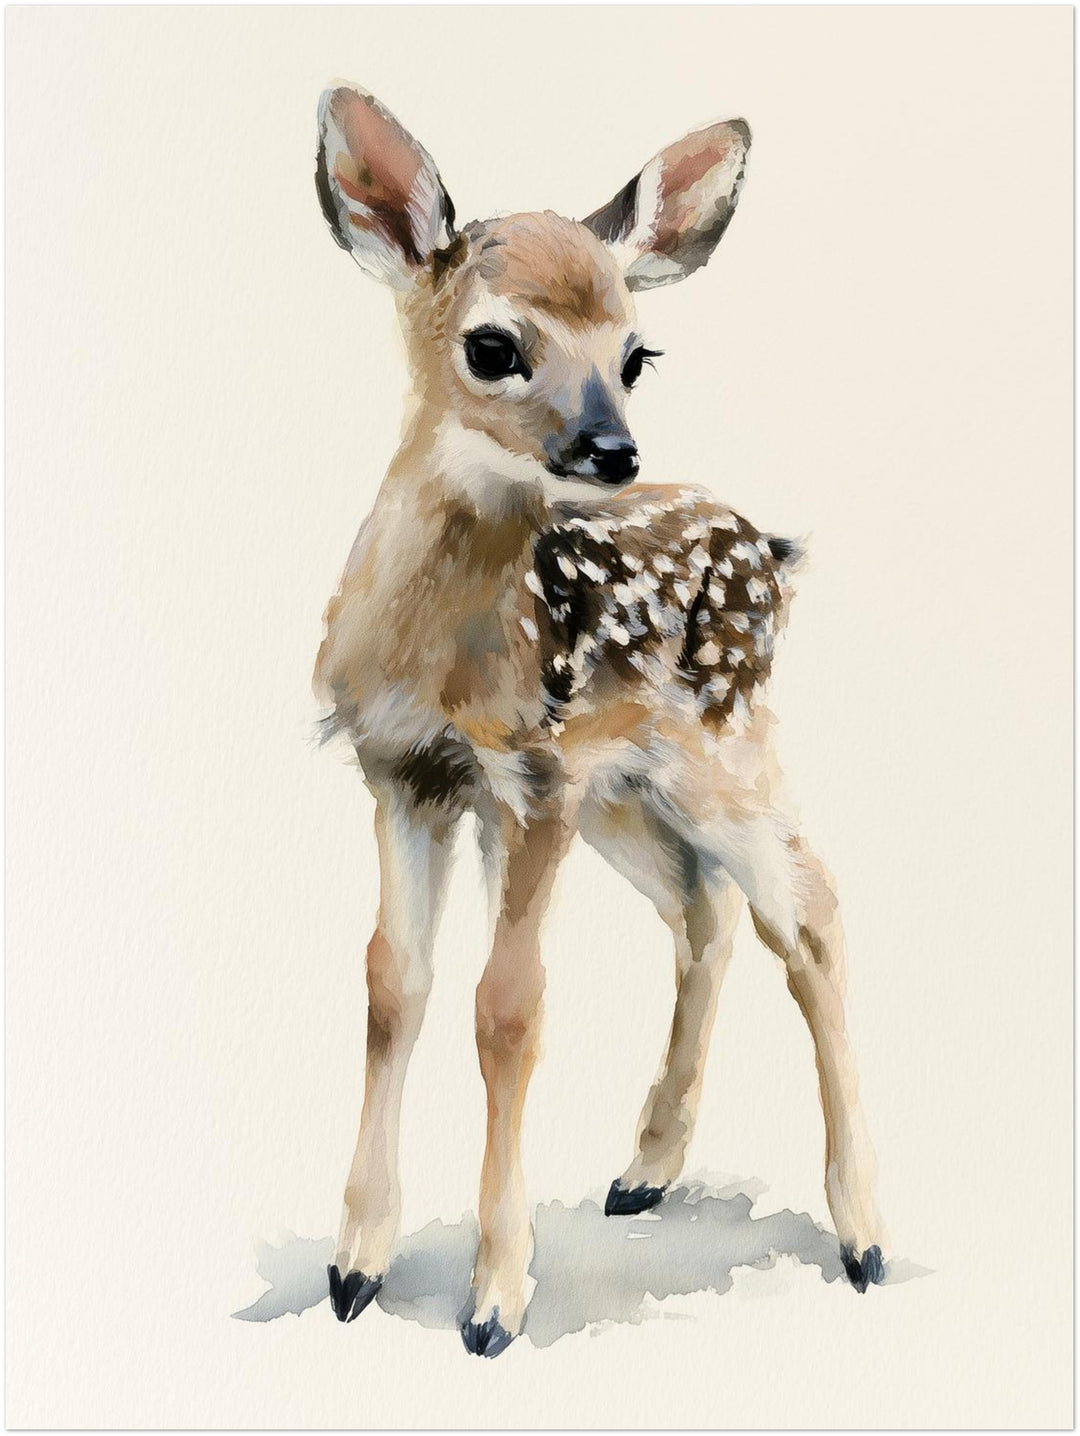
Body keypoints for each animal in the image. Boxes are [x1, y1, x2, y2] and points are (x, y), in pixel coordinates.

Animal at [312, 82, 887, 1358]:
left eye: (636, 353)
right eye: (493, 344)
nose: (611, 448)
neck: (443, 654)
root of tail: (769, 548)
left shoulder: (528, 781)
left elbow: (507, 1008)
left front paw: (495, 1299)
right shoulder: (403, 775)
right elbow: (391, 986)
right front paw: (354, 1265)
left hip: (718, 750)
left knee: (810, 911)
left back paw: (865, 1234)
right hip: (626, 792)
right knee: (703, 910)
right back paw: (646, 1167)